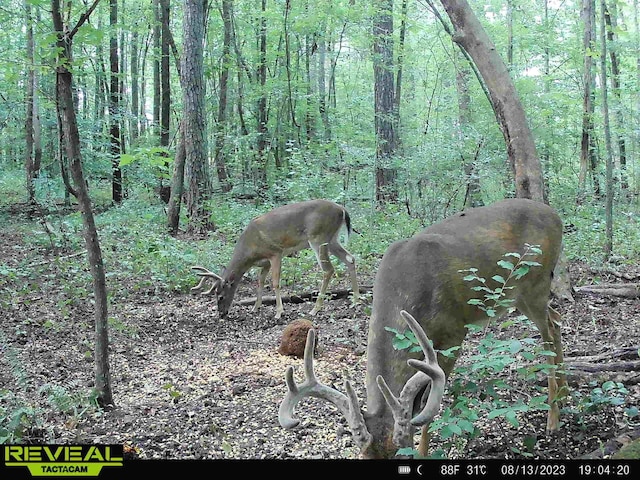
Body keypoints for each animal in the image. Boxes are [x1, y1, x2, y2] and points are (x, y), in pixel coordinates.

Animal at [190, 199, 360, 318]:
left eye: (220, 296)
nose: (221, 314)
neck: (250, 252)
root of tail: (342, 209)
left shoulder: (275, 252)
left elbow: (275, 282)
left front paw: (279, 312)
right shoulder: (264, 262)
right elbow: (260, 281)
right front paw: (255, 307)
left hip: (318, 237)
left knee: (328, 269)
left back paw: (315, 309)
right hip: (332, 239)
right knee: (350, 258)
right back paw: (356, 300)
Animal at [278, 198, 564, 458]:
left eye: (401, 453)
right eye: (363, 458)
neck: (404, 291)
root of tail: (555, 215)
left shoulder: (453, 332)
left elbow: (427, 404)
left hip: (535, 283)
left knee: (548, 332)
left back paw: (553, 419)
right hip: (521, 295)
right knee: (557, 318)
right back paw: (564, 393)